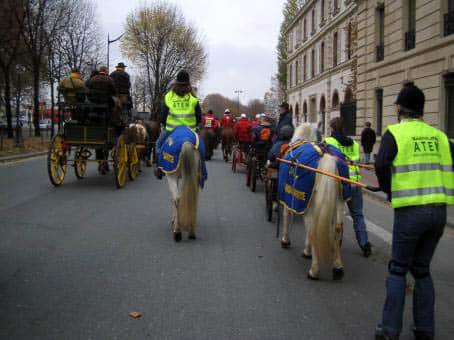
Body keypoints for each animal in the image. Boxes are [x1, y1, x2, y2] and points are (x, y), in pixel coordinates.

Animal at [278, 123, 352, 280]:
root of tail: (325, 155)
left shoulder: (291, 200)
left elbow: (287, 217)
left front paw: (286, 241)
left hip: (309, 205)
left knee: (312, 230)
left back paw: (314, 270)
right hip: (339, 201)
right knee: (337, 228)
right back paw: (337, 267)